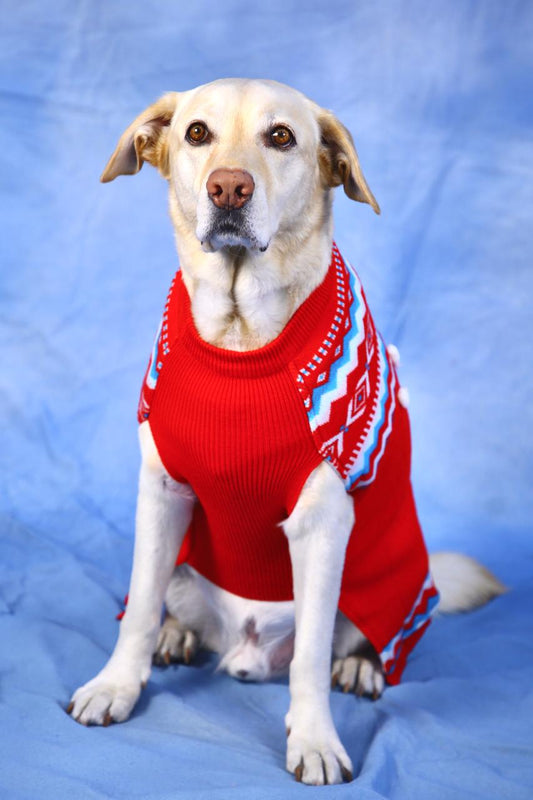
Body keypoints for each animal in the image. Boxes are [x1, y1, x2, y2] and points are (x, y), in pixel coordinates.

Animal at [68, 78, 504, 784]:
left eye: (281, 137)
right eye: (197, 133)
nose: (229, 188)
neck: (240, 338)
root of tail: (242, 652)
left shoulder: (322, 524)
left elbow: (310, 659)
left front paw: (316, 739)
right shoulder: (161, 494)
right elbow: (135, 609)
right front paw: (117, 685)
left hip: (391, 584)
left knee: (357, 640)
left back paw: (361, 666)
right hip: (186, 560)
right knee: (163, 599)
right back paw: (175, 633)